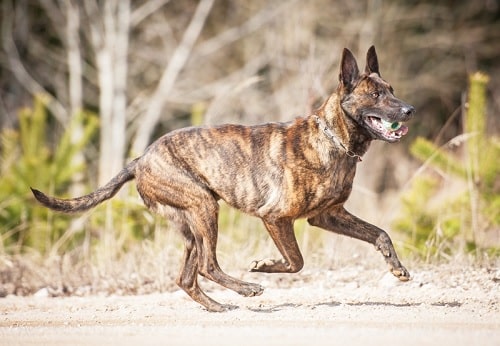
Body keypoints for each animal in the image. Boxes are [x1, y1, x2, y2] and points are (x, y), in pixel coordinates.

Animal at [31, 45, 414, 310]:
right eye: (376, 94)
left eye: (393, 88)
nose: (409, 110)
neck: (334, 140)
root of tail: (140, 160)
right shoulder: (276, 218)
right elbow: (296, 261)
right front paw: (265, 266)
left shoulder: (328, 216)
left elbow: (379, 233)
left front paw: (397, 268)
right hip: (204, 208)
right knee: (207, 265)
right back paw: (245, 288)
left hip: (190, 226)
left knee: (187, 276)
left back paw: (217, 306)